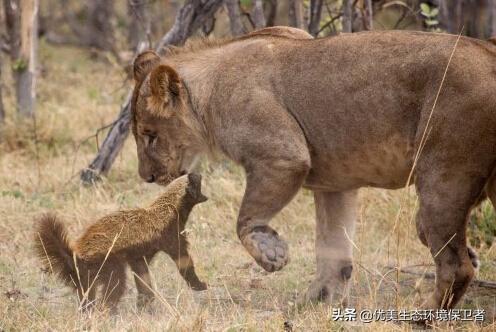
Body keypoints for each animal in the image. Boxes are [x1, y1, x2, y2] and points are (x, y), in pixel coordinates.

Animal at [33, 174, 207, 312]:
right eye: (196, 182)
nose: (198, 173)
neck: (169, 208)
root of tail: (76, 256)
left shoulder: (139, 255)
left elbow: (142, 276)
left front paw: (144, 302)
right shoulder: (170, 235)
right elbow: (183, 261)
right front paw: (200, 285)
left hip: (87, 277)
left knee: (87, 295)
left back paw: (88, 312)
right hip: (108, 263)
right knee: (114, 286)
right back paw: (107, 311)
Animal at [129, 26, 496, 312]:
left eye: (149, 135)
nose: (146, 177)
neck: (208, 94)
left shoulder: (283, 155)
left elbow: (245, 219)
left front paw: (272, 254)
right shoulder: (336, 183)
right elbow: (333, 252)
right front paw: (315, 302)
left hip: (443, 174)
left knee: (455, 266)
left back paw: (419, 317)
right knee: (440, 243)